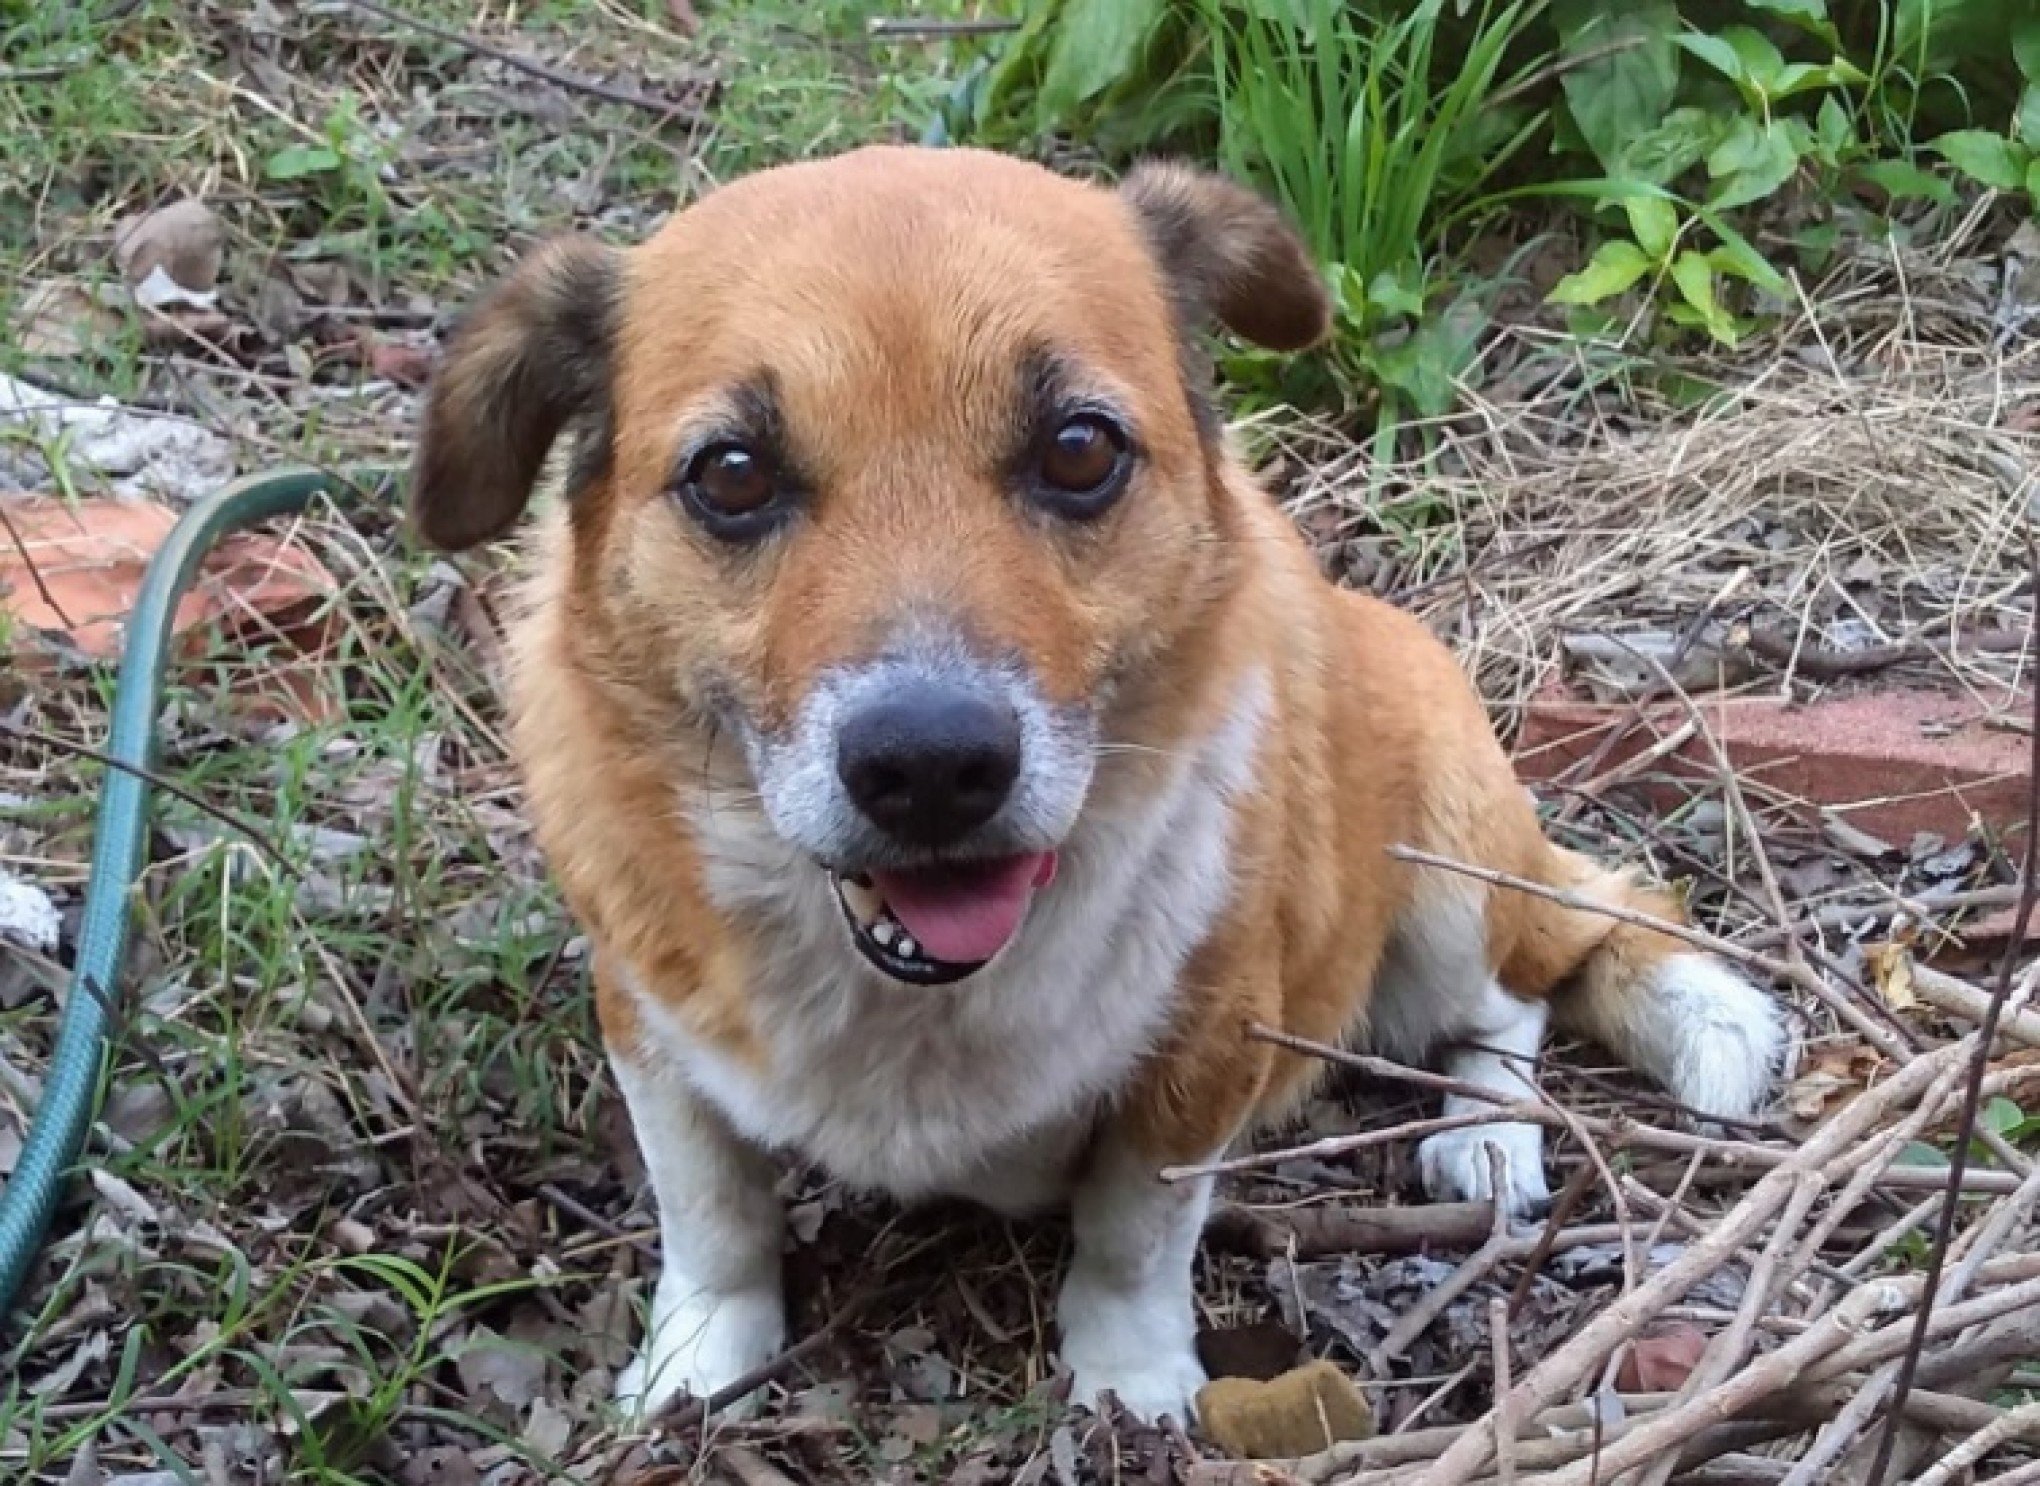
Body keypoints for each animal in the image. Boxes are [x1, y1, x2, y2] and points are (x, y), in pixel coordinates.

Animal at [410, 144, 1787, 1420]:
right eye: (732, 474)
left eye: (1078, 449)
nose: (932, 766)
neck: (917, 997)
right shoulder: (648, 1024)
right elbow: (711, 1211)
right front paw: (702, 1357)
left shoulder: (1208, 1051)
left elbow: (1132, 1234)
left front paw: (1127, 1382)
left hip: (1443, 874)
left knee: (1513, 1001)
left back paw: (1486, 1130)